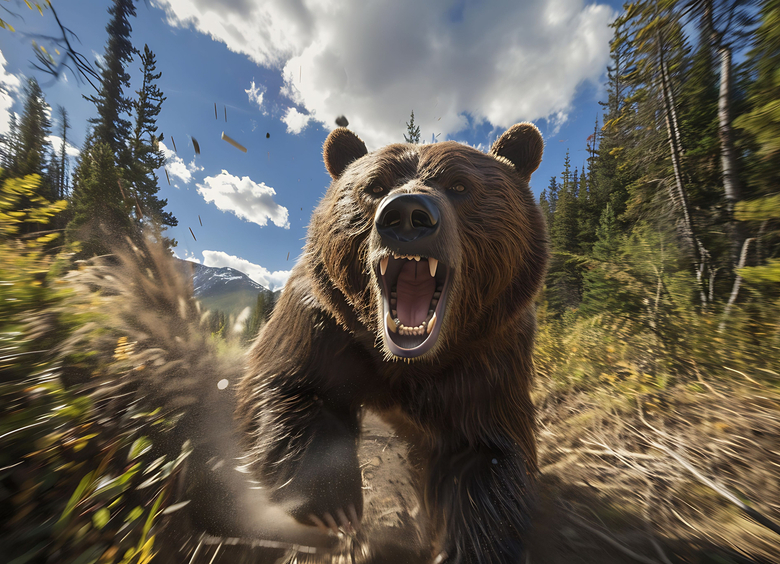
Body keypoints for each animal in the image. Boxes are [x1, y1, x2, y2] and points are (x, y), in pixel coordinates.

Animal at [236, 122, 548, 563]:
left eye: (459, 184)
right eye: (375, 185)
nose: (408, 214)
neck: (402, 363)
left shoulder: (489, 353)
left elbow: (487, 453)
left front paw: (469, 545)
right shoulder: (322, 322)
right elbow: (284, 384)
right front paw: (334, 501)